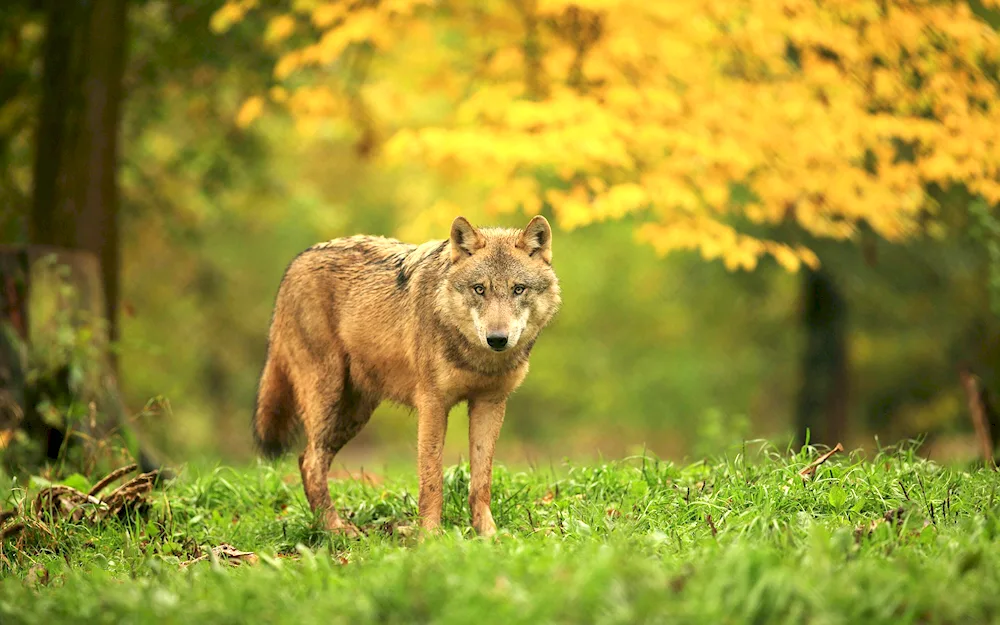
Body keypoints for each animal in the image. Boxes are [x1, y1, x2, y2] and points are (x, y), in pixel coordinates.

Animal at [252, 216, 564, 536]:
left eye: (518, 289)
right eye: (479, 289)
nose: (497, 339)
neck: (478, 359)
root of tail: (296, 262)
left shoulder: (490, 403)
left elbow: (481, 481)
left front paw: (488, 533)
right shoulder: (432, 404)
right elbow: (431, 478)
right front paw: (430, 536)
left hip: (353, 414)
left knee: (307, 458)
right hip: (328, 398)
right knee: (311, 461)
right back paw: (336, 529)